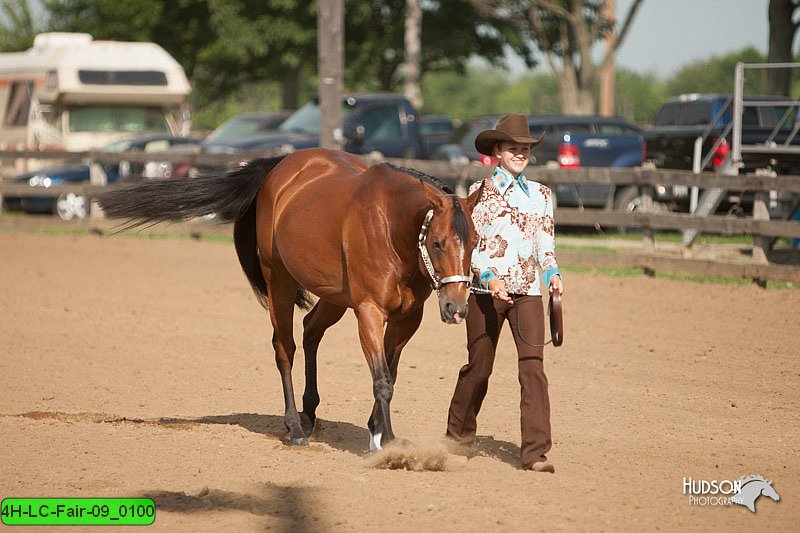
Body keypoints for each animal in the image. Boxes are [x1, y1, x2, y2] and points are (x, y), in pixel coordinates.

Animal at [97, 149, 478, 448]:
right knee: (285, 348)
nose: (456, 307)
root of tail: (280, 166)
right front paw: (386, 443)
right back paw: (295, 427)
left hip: (334, 296)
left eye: (475, 241)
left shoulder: (407, 317)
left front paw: (380, 432)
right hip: (278, 280)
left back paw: (309, 412)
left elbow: (391, 374)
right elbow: (382, 380)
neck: (390, 227)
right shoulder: (369, 312)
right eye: (437, 242)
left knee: (310, 330)